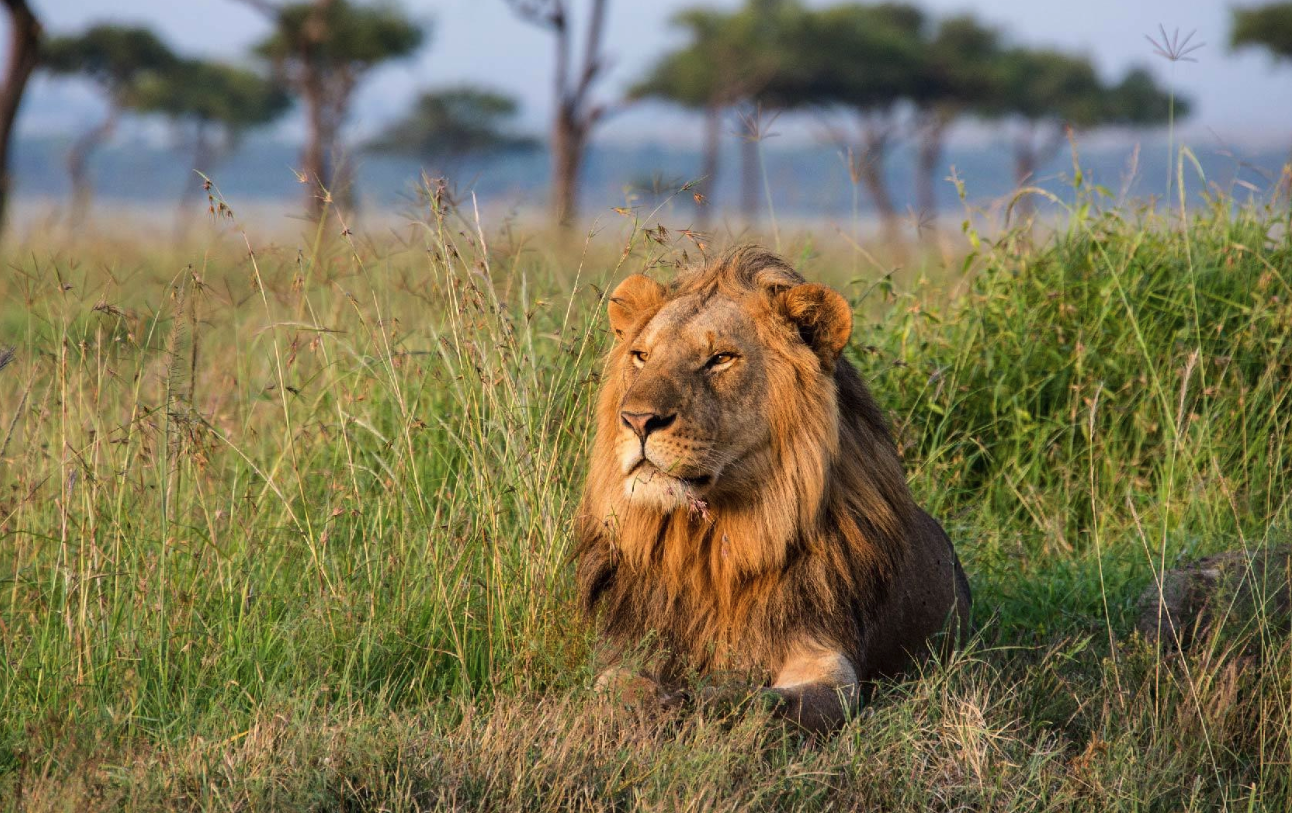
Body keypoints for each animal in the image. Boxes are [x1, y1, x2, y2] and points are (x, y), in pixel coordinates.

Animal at [576, 244, 971, 734]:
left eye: (721, 358)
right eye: (641, 356)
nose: (636, 419)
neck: (713, 546)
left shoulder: (827, 656)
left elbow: (770, 704)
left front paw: (710, 699)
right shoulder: (631, 644)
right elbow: (612, 690)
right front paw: (653, 708)